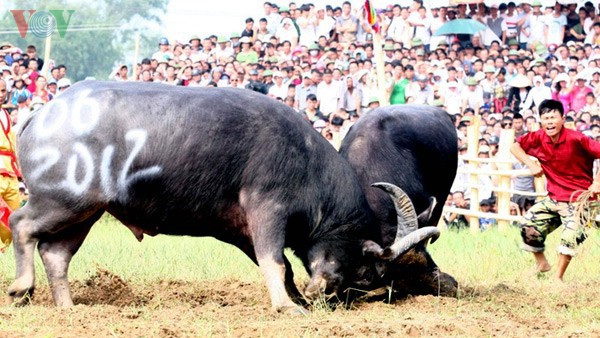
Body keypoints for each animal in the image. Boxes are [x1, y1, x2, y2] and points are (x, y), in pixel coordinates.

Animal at [8, 80, 440, 312]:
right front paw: (287, 306)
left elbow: (282, 266)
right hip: (63, 201)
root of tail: (43, 112)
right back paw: (20, 287)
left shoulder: (243, 230)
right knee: (20, 224)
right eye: (368, 272)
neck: (306, 161)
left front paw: (295, 299)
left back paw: (67, 308)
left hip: (86, 211)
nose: (327, 295)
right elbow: (275, 261)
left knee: (56, 253)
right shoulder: (268, 210)